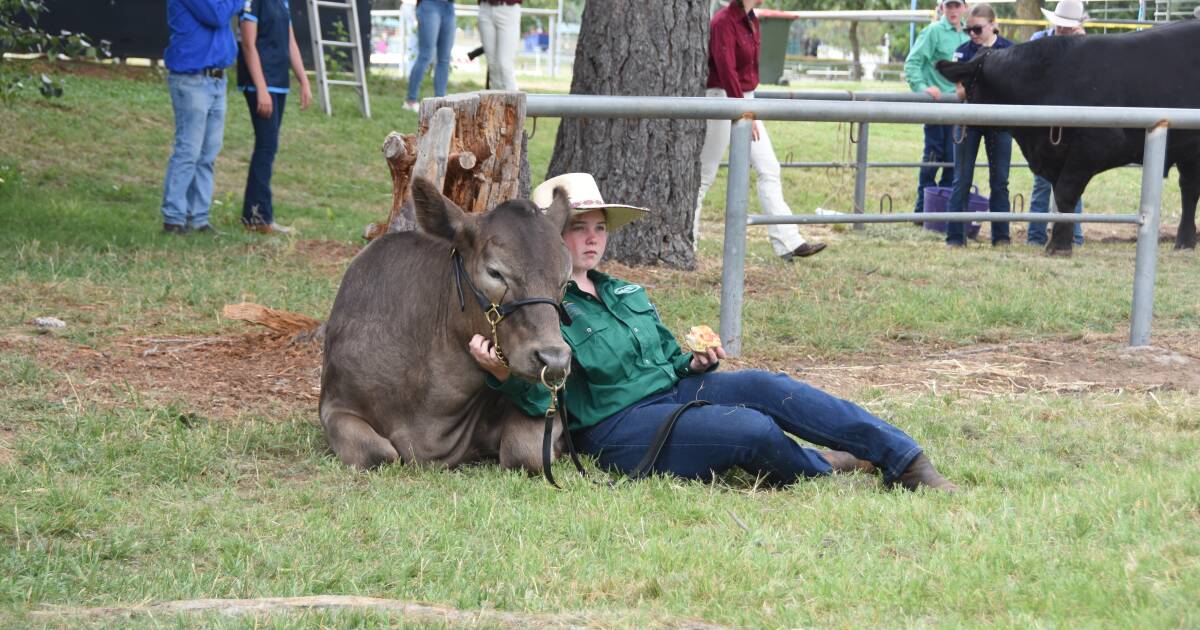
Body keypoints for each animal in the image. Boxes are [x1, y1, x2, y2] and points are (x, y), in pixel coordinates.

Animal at [936, 22, 1200, 253]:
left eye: (965, 85)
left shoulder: (1096, 146)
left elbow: (1066, 192)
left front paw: (1059, 246)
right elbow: (1062, 199)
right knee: (1189, 189)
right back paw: (1185, 242)